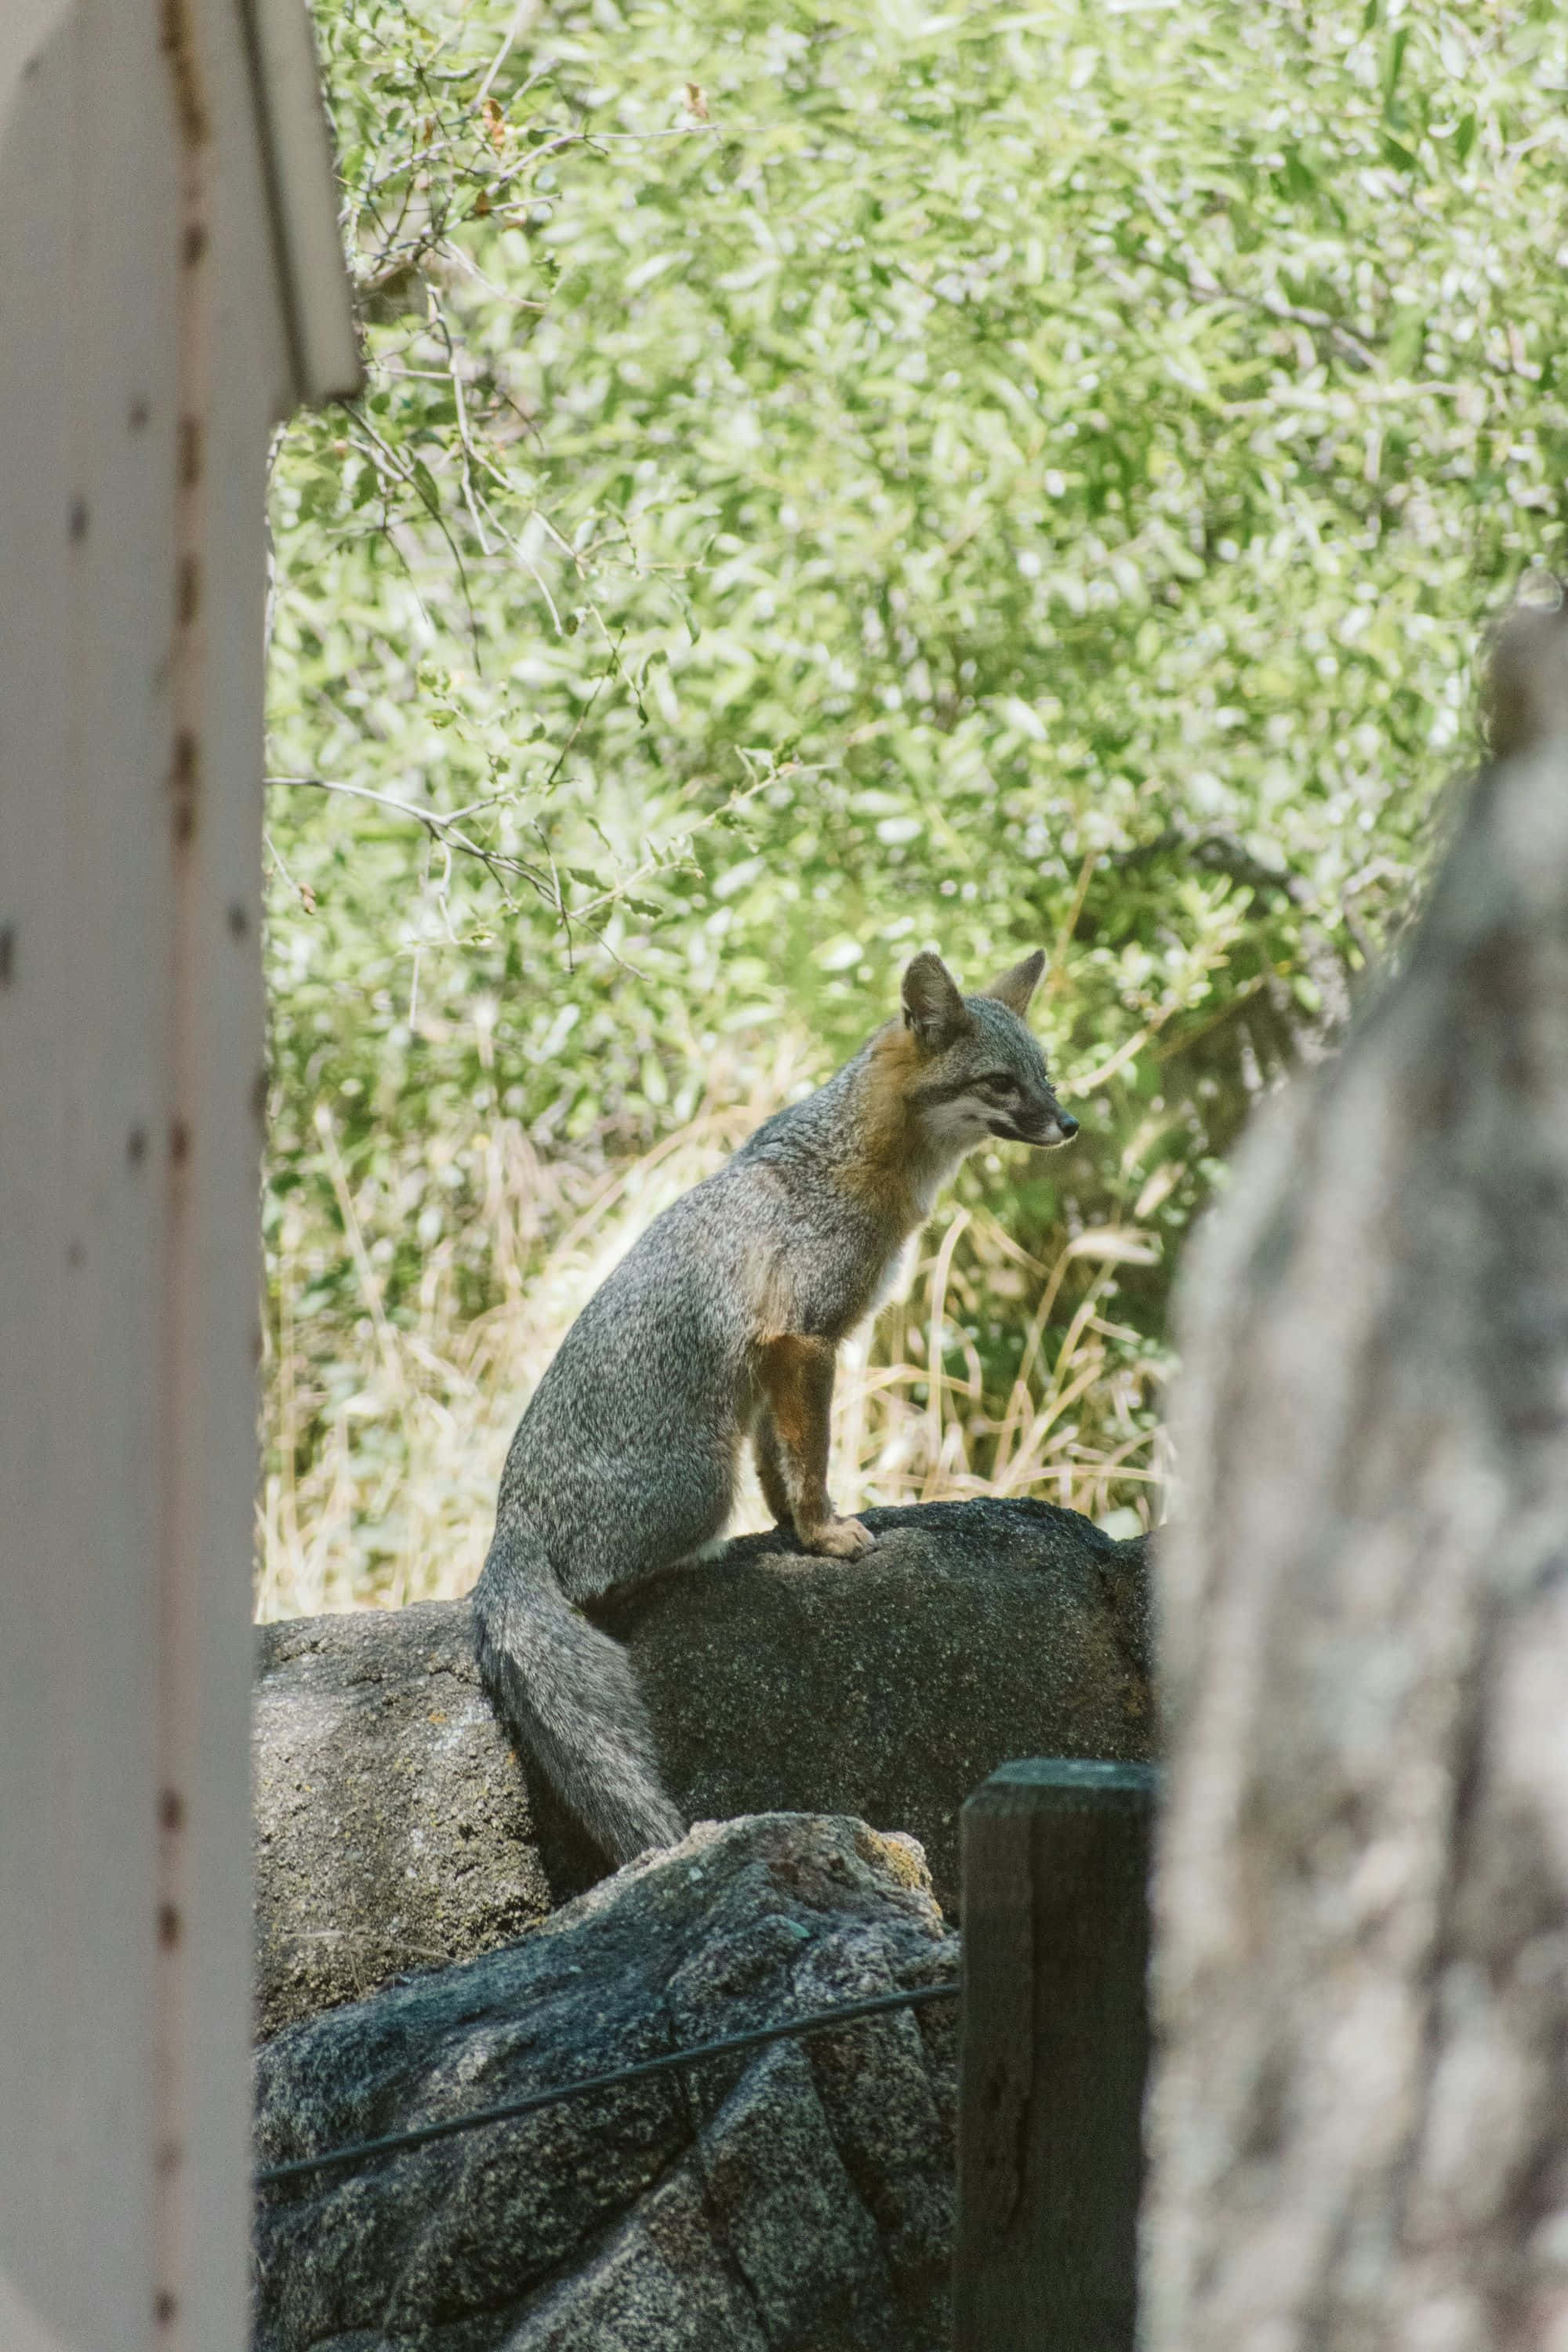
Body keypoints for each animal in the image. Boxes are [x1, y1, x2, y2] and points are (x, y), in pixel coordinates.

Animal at [472, 947, 1078, 1864]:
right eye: (1003, 1083)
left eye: (1043, 1075)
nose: (1069, 1124)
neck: (850, 1160)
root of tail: (510, 1530)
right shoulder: (804, 1337)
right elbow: (812, 1454)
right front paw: (826, 1535)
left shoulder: (771, 1362)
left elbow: (781, 1462)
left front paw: (794, 1529)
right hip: (698, 1483)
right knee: (604, 1579)